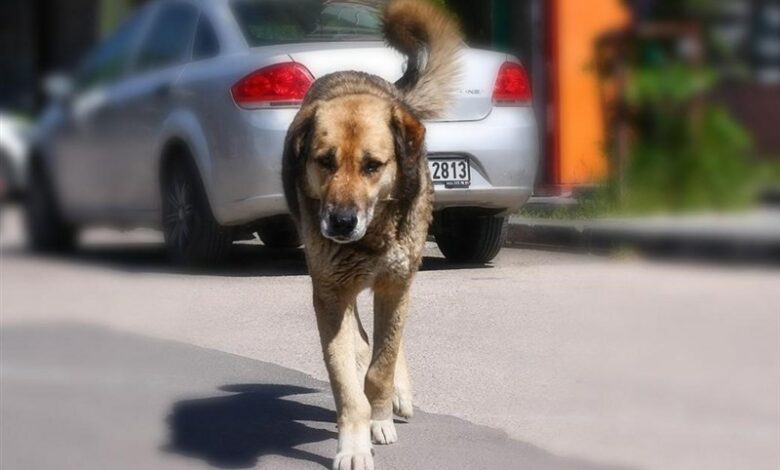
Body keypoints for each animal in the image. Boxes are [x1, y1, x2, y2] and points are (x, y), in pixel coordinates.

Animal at [282, 1, 460, 468]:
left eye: (372, 166)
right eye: (325, 161)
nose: (341, 222)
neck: (371, 238)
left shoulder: (394, 286)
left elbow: (382, 364)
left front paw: (379, 416)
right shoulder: (329, 293)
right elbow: (347, 381)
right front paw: (354, 442)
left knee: (386, 345)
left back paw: (396, 393)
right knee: (362, 340)